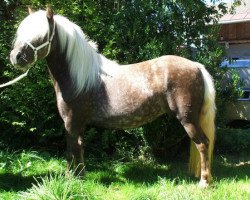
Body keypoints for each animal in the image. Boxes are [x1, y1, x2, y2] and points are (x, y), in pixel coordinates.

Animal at [10, 6, 215, 188]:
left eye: (42, 34)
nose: (16, 57)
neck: (79, 77)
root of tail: (196, 66)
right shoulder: (79, 124)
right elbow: (80, 147)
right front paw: (80, 177)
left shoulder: (70, 122)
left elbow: (70, 151)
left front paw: (68, 180)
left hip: (187, 119)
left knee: (203, 144)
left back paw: (204, 182)